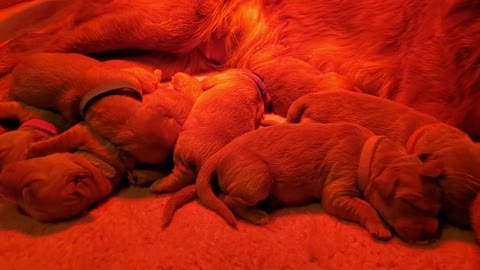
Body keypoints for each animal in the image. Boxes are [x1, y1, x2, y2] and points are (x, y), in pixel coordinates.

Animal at [194, 123, 442, 244]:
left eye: (438, 208)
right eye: (411, 202)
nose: (432, 237)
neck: (370, 154)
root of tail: (220, 153)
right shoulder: (337, 190)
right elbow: (365, 206)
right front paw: (379, 228)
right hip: (259, 177)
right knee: (229, 199)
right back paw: (258, 215)